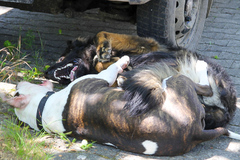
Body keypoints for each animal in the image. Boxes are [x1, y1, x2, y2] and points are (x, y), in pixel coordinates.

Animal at [1, 56, 240, 156]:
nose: (16, 86)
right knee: (205, 87)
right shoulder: (102, 77)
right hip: (173, 81)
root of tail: (195, 132)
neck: (44, 108)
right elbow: (113, 68)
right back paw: (201, 70)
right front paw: (123, 60)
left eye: (17, 92)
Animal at [44, 31, 236, 130]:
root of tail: (226, 107)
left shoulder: (148, 45)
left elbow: (102, 34)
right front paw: (110, 60)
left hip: (168, 62)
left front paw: (104, 50)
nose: (46, 73)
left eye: (61, 58)